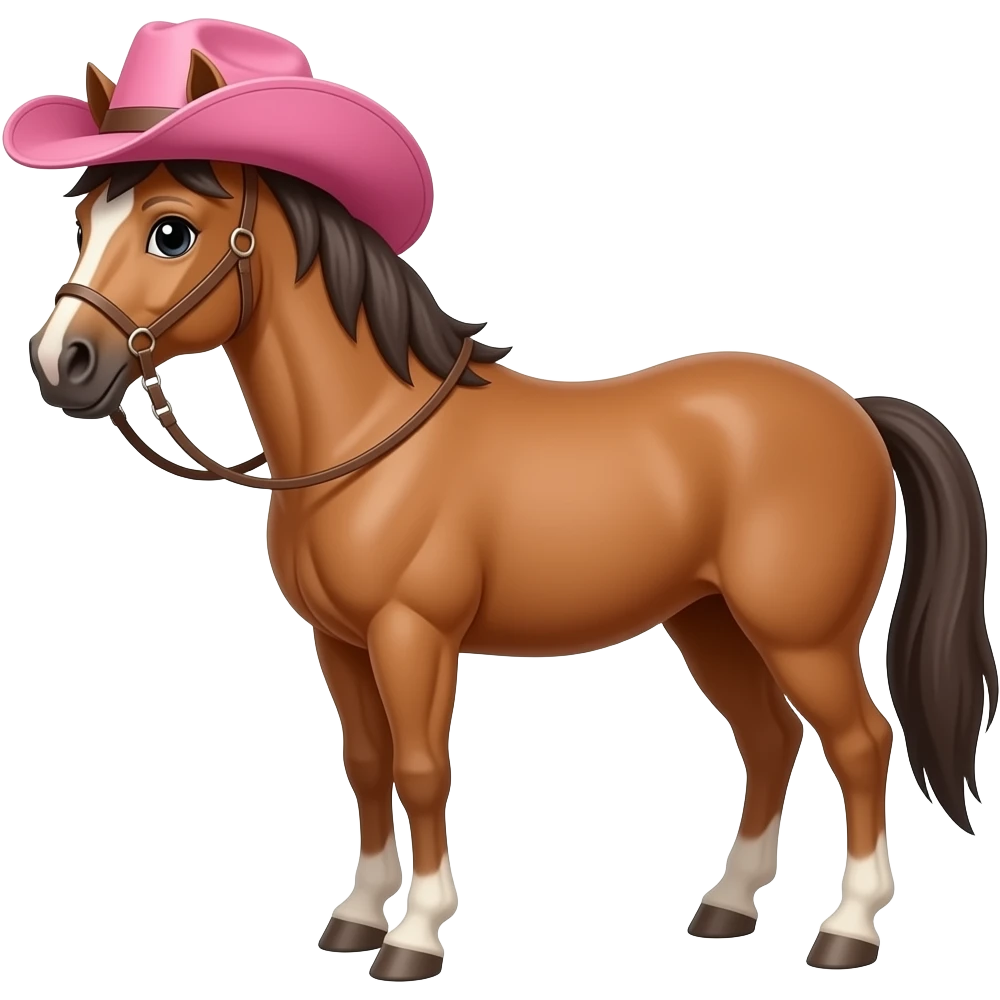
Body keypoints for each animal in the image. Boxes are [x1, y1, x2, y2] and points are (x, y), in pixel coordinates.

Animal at [24, 149, 996, 980]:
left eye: (171, 230)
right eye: (81, 224)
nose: (62, 361)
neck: (372, 433)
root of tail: (856, 410)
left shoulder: (412, 636)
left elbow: (422, 770)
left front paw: (414, 938)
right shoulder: (340, 644)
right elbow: (367, 764)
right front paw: (355, 916)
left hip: (802, 635)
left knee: (859, 743)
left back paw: (848, 930)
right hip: (709, 622)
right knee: (769, 740)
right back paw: (727, 905)